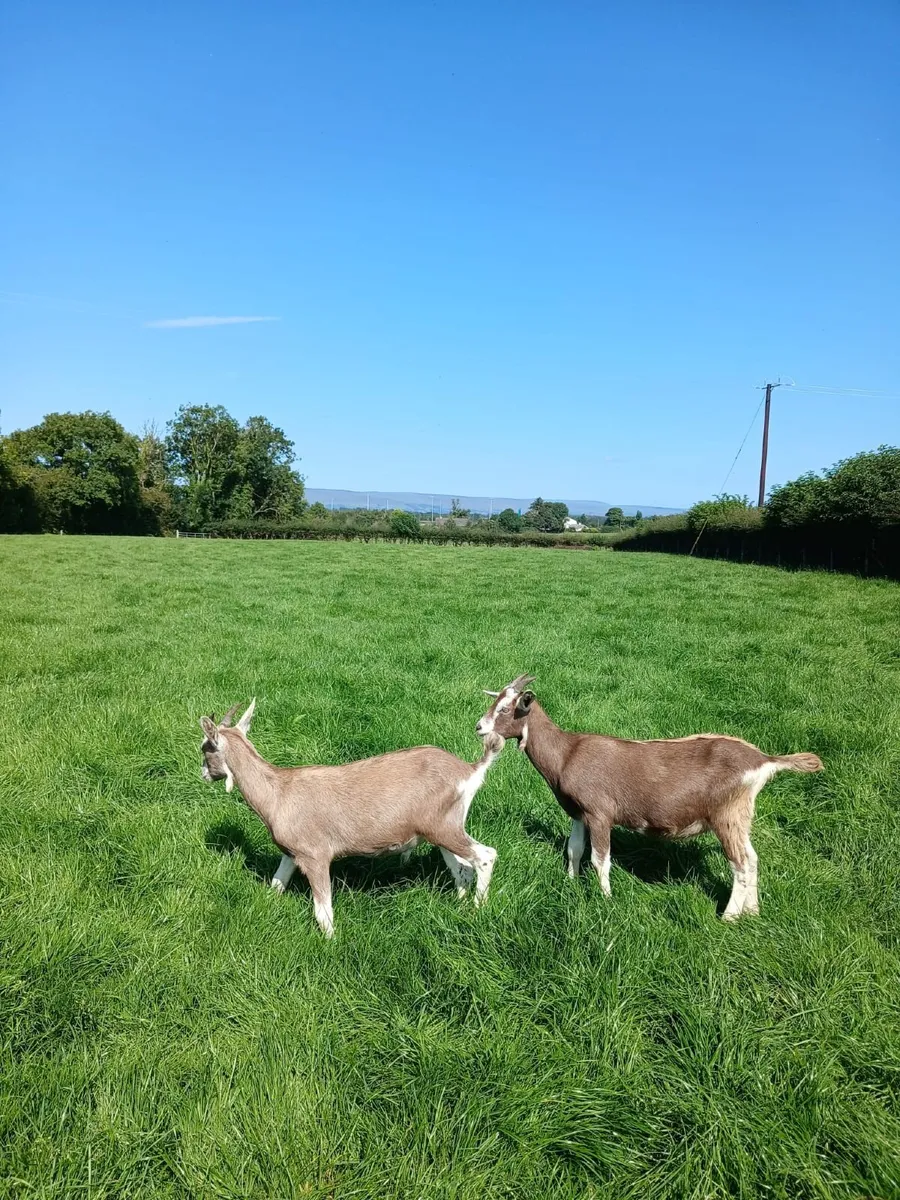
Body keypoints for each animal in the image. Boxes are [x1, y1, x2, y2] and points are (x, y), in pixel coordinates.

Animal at [199, 701, 504, 937]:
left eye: (204, 749)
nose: (203, 774)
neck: (279, 792)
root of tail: (470, 770)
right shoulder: (291, 852)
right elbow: (276, 884)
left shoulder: (315, 856)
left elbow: (323, 910)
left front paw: (330, 943)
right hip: (442, 829)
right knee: (462, 868)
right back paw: (460, 904)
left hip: (443, 828)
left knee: (485, 856)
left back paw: (477, 909)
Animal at [475, 675, 823, 919]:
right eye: (496, 703)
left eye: (505, 709)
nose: (479, 726)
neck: (567, 753)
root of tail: (763, 760)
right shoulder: (577, 812)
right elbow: (574, 849)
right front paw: (571, 883)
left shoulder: (600, 813)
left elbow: (600, 859)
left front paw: (606, 900)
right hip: (740, 815)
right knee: (752, 859)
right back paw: (752, 911)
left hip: (726, 814)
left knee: (739, 863)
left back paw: (729, 917)